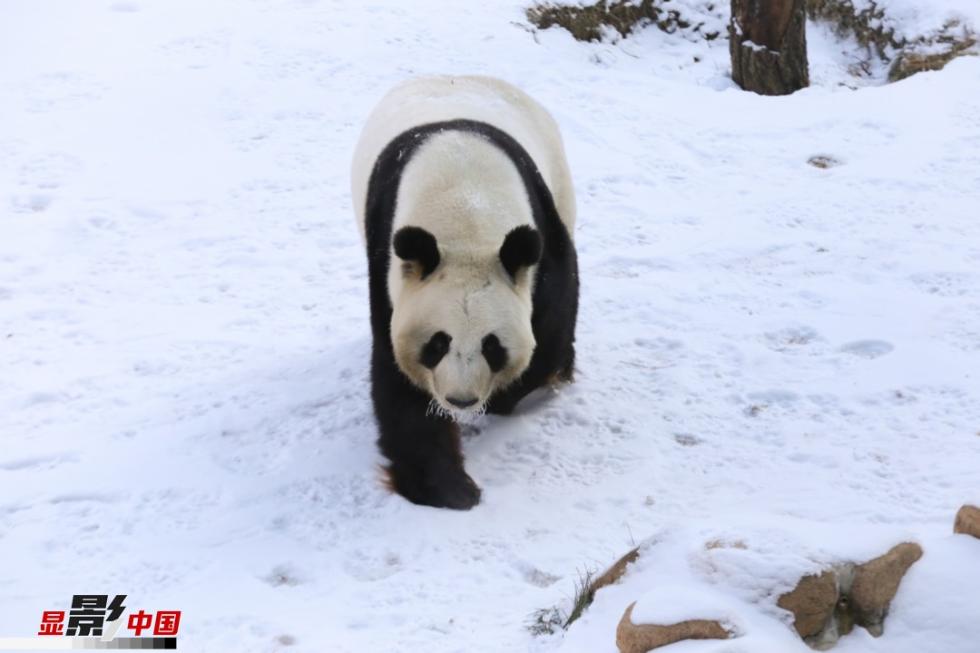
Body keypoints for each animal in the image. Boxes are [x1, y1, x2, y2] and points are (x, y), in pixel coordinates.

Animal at [352, 75, 580, 510]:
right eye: (437, 343)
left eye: (493, 345)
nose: (461, 400)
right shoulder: (392, 273)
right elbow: (398, 380)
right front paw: (449, 489)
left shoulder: (541, 242)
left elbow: (550, 330)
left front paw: (507, 396)